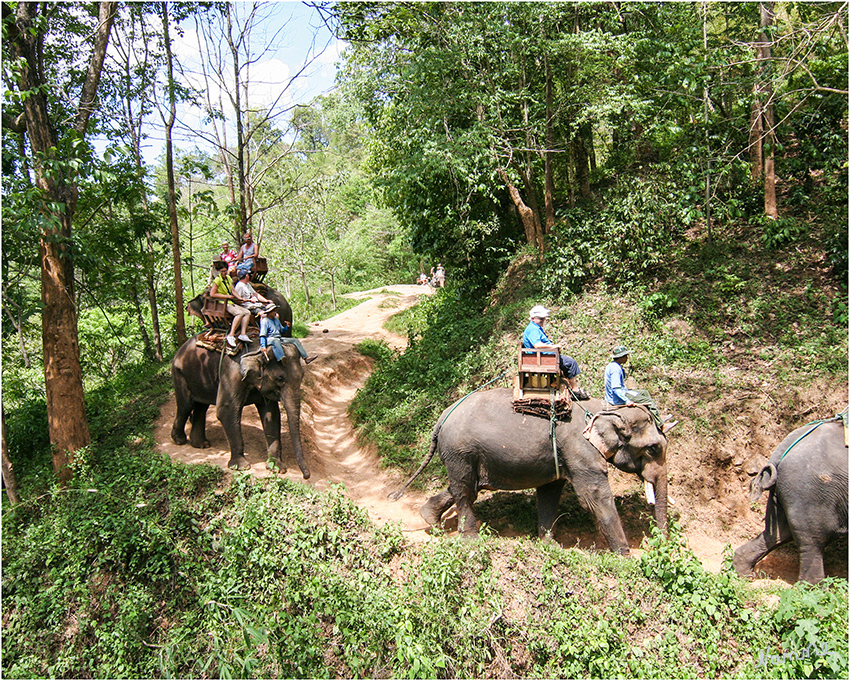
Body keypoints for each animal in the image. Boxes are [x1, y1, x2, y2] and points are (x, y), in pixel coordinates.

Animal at [390, 388, 668, 552]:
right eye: (653, 448)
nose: (659, 544)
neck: (605, 409)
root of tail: (442, 418)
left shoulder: (561, 455)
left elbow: (549, 492)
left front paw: (548, 545)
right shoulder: (580, 450)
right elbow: (593, 496)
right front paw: (624, 555)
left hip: (462, 454)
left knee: (466, 486)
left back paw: (429, 517)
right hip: (460, 451)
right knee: (465, 491)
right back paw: (471, 539)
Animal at [732, 420, 844, 584]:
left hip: (789, 492)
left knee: (778, 533)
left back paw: (743, 574)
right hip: (809, 492)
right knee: (813, 540)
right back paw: (814, 588)